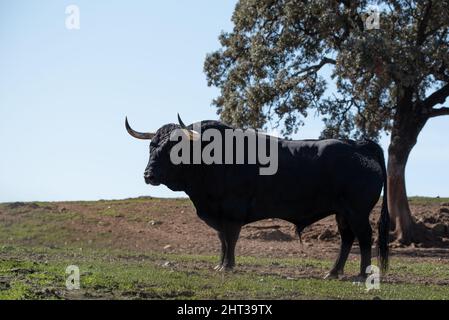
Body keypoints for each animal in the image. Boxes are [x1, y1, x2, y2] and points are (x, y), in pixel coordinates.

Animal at [124, 119, 386, 278]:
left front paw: (228, 266)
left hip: (357, 212)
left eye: (174, 148)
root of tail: (359, 145)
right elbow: (222, 240)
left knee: (364, 238)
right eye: (151, 147)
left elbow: (231, 238)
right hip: (343, 213)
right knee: (347, 239)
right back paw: (333, 272)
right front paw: (220, 264)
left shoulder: (233, 211)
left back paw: (362, 274)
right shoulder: (218, 214)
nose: (149, 175)